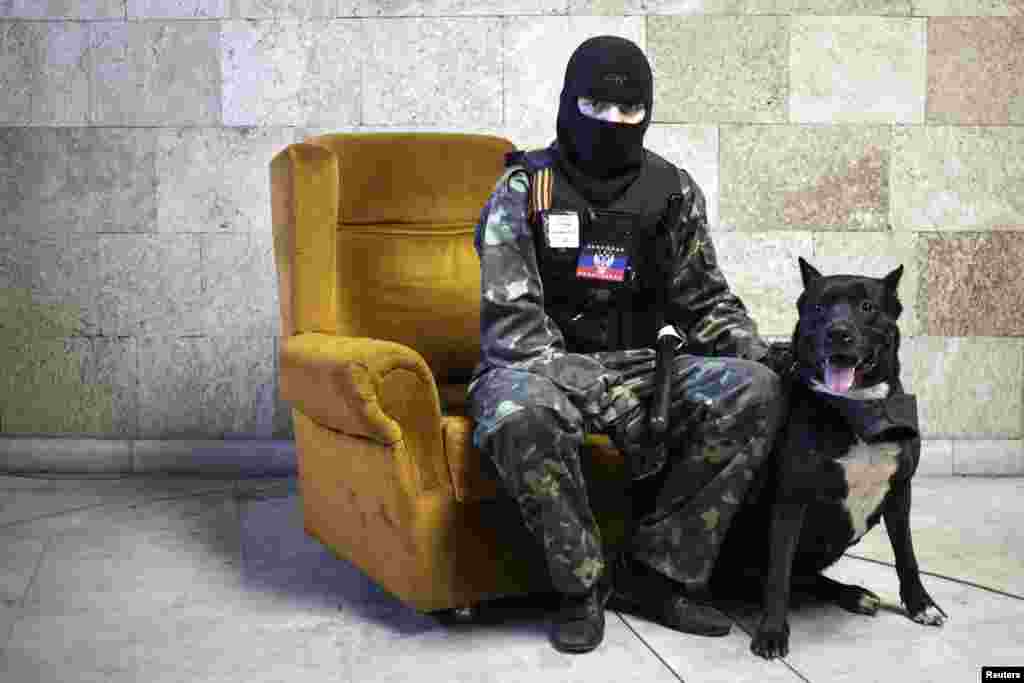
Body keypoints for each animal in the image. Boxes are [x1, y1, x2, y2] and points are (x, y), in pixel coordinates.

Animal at [712, 255, 942, 655]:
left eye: (867, 307)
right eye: (819, 308)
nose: (838, 332)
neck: (856, 409)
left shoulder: (900, 491)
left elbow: (906, 555)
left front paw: (920, 604)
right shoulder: (791, 500)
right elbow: (778, 574)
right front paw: (772, 632)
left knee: (804, 576)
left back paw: (853, 594)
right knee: (783, 577)